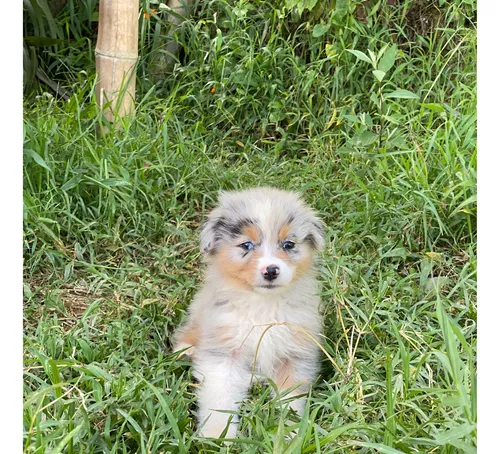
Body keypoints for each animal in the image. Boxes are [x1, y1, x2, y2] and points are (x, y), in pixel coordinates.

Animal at [174, 186, 326, 438]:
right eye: (246, 245)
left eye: (288, 244)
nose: (271, 270)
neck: (262, 305)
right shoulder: (223, 353)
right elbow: (220, 400)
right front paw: (218, 436)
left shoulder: (293, 354)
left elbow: (290, 402)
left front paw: (290, 434)